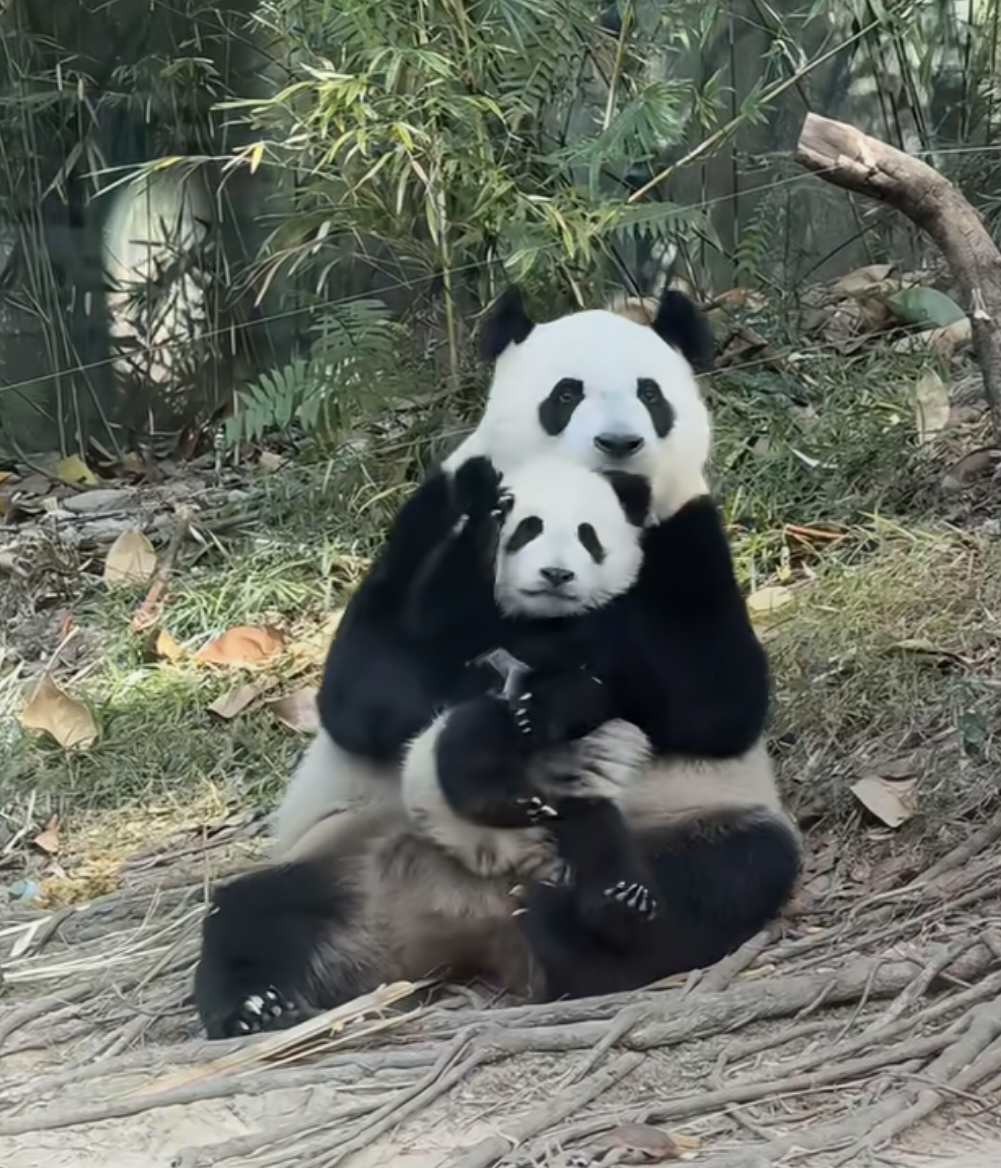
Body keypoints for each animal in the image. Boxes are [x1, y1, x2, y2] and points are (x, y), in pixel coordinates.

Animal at [191, 284, 798, 1041]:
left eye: (650, 393)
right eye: (566, 394)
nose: (619, 443)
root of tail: (461, 921)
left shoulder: (687, 534)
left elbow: (720, 700)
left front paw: (566, 680)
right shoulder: (432, 508)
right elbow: (363, 690)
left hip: (689, 822)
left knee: (733, 874)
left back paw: (582, 923)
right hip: (344, 848)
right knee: (255, 907)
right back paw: (256, 1004)